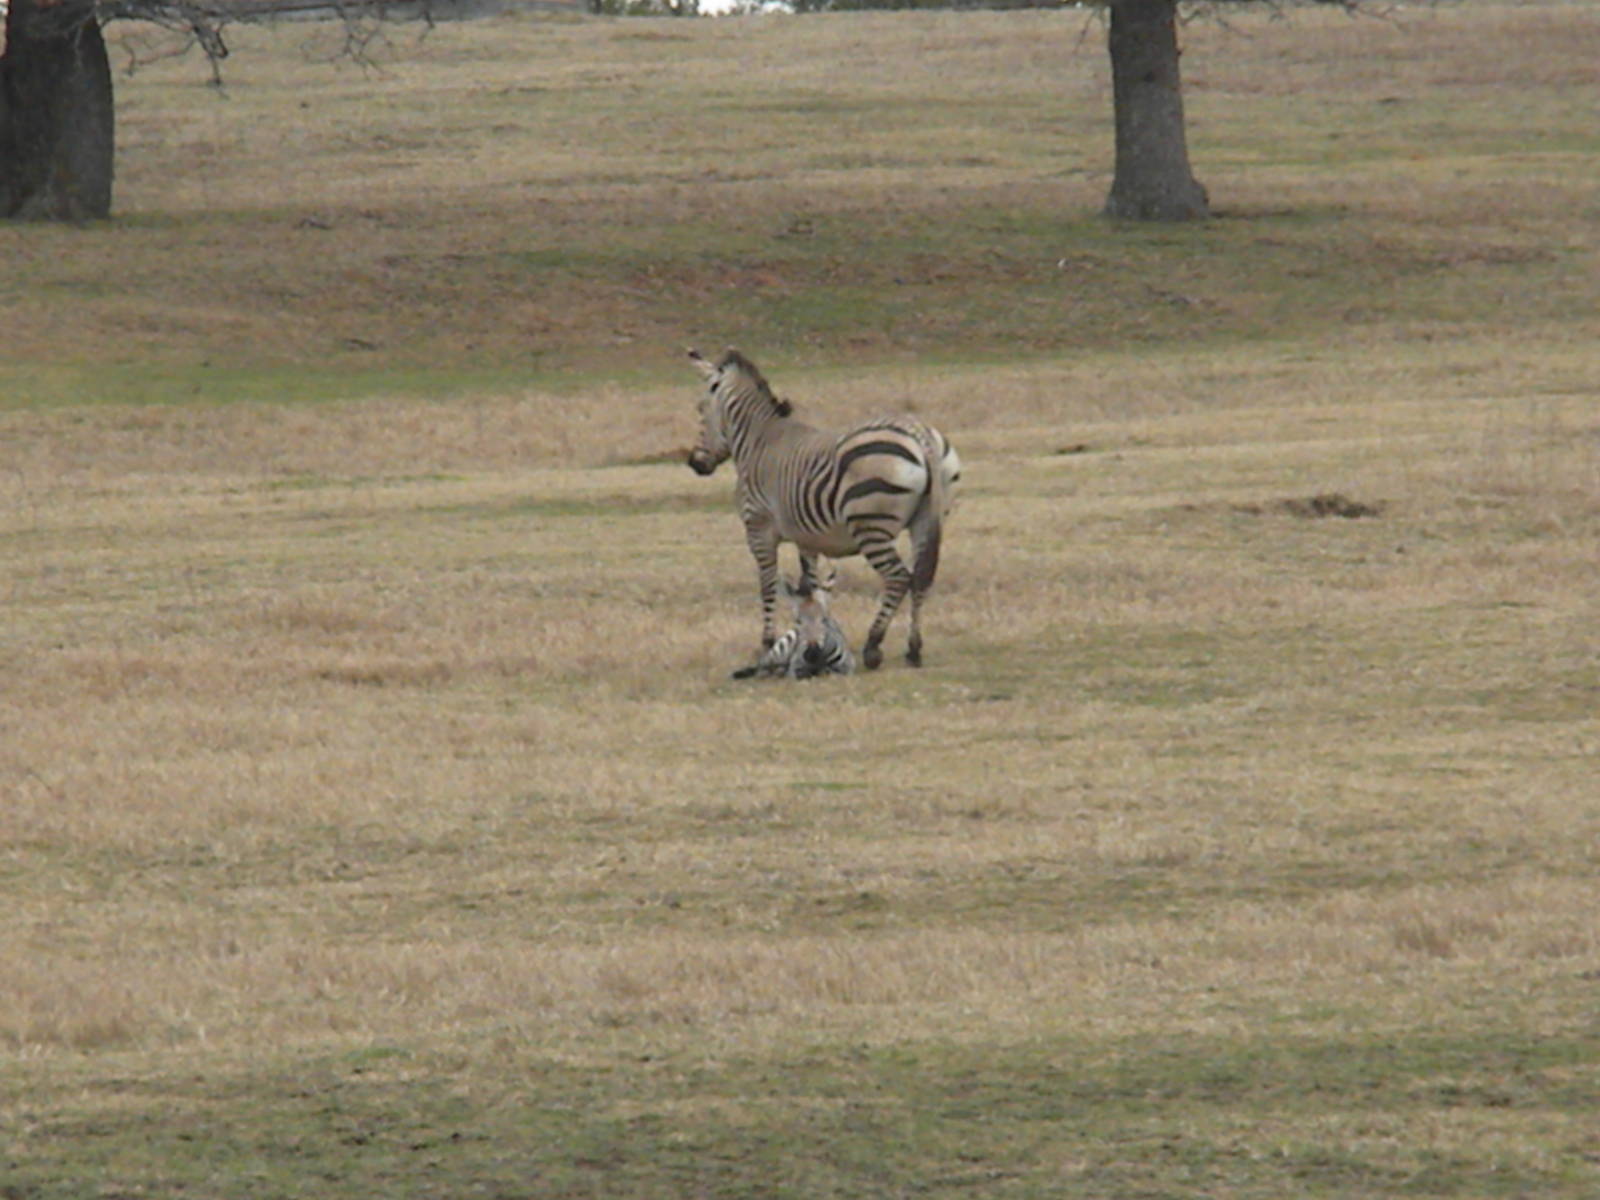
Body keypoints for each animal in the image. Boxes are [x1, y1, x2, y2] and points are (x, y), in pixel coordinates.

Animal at [686, 347, 960, 670]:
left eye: (700, 409)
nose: (696, 463)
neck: (757, 442)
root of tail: (920, 435)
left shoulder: (758, 529)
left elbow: (768, 585)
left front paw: (767, 642)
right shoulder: (807, 539)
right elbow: (810, 587)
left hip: (870, 525)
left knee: (898, 578)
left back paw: (873, 646)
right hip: (925, 521)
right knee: (920, 578)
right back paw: (913, 649)